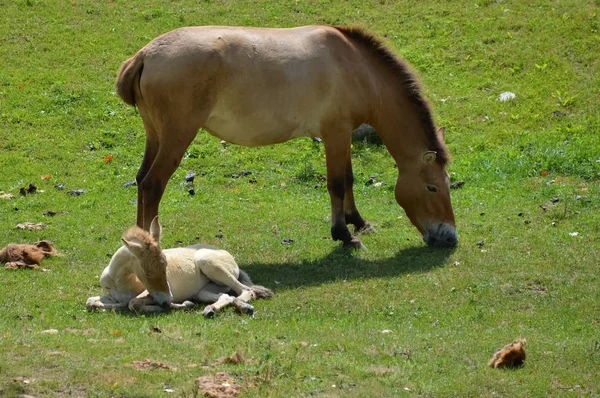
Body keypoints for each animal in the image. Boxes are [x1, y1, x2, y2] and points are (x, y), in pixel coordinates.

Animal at [85, 216, 274, 316]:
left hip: (209, 264)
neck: (121, 281)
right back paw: (210, 310)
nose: (167, 299)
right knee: (226, 296)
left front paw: (181, 305)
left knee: (246, 290)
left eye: (166, 266)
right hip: (204, 291)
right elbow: (90, 302)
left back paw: (244, 307)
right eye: (147, 272)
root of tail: (232, 260)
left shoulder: (149, 294)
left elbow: (133, 303)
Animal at [115, 24, 458, 249]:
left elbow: (348, 179)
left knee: (142, 180)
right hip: (177, 137)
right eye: (432, 187)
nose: (450, 237)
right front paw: (344, 235)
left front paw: (357, 221)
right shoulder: (335, 134)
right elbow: (336, 183)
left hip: (156, 136)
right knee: (153, 184)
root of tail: (145, 55)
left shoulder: (343, 134)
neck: (356, 67)